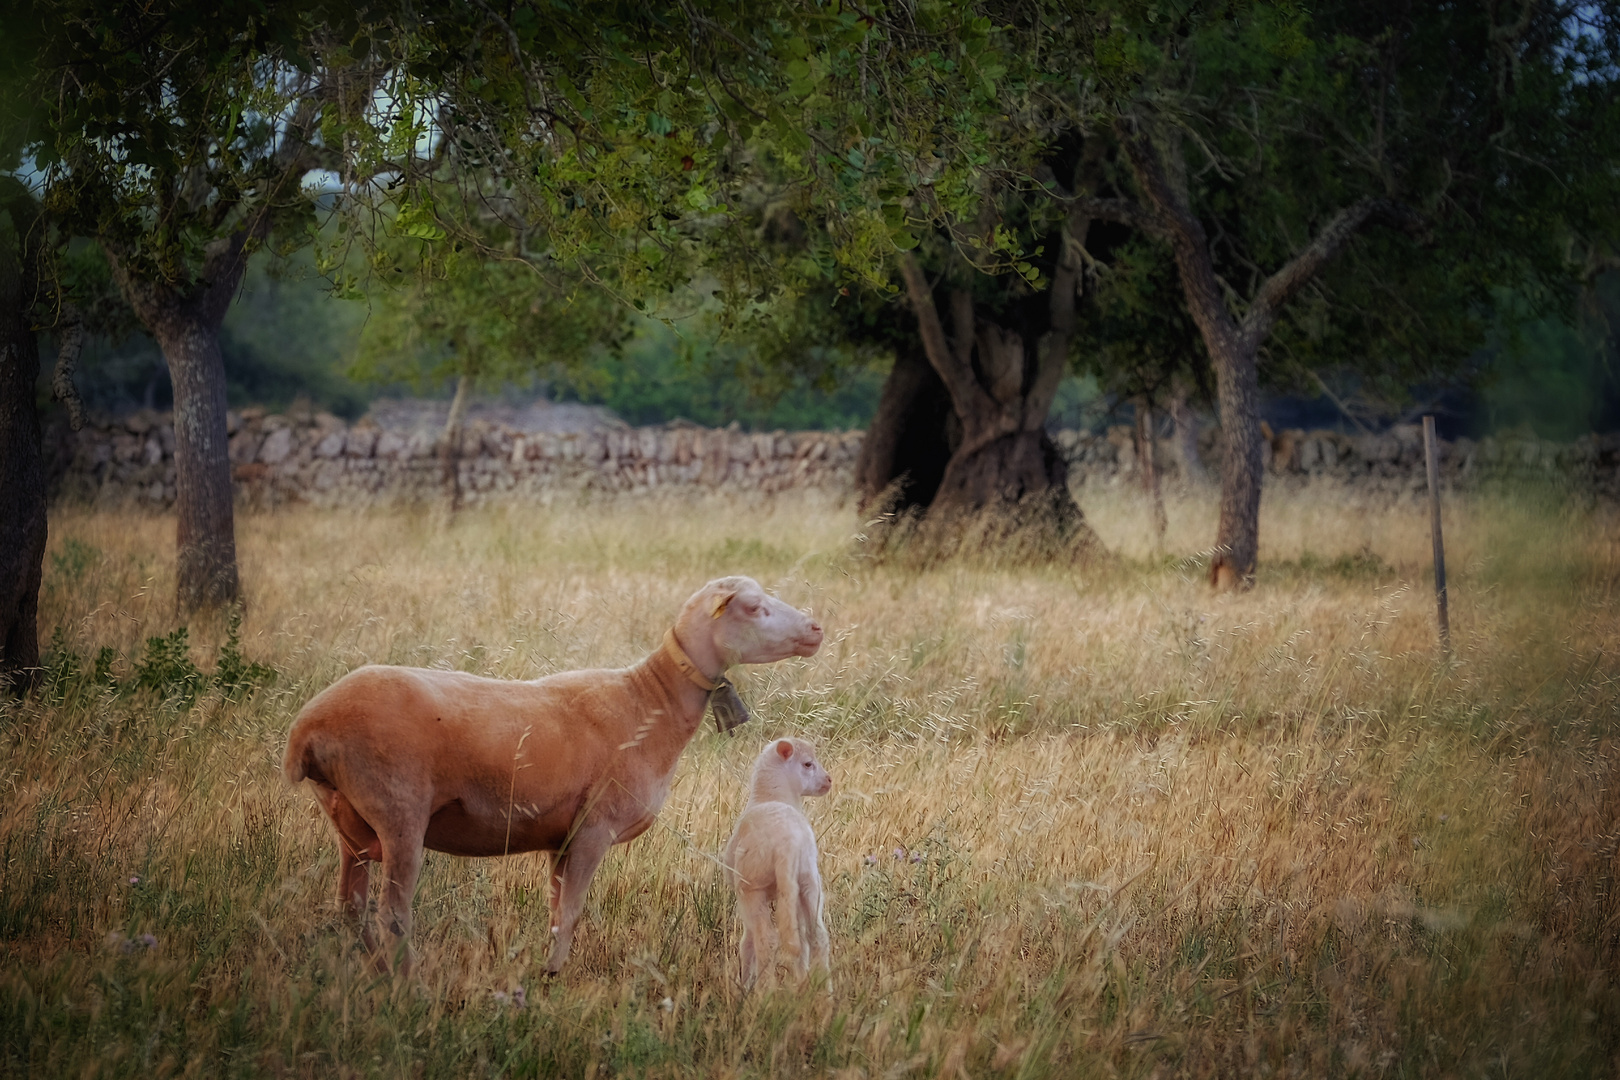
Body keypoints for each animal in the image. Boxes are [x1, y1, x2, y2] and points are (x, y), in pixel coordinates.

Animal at [280, 579, 829, 977]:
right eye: (753, 607)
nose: (817, 628)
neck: (649, 701)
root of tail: (307, 731)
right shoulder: (594, 828)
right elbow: (570, 913)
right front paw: (553, 979)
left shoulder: (560, 839)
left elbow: (552, 913)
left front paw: (545, 969)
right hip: (399, 813)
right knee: (392, 915)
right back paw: (408, 985)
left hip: (349, 822)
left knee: (351, 909)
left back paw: (372, 975)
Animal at [729, 735, 842, 990]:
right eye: (808, 764)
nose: (829, 780)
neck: (771, 796)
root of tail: (786, 846)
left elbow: (747, 942)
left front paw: (745, 983)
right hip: (808, 881)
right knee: (816, 935)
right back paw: (824, 992)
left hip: (753, 887)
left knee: (766, 939)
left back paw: (765, 991)